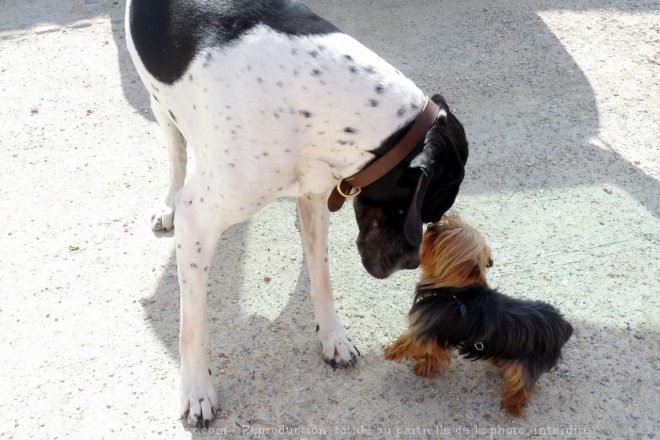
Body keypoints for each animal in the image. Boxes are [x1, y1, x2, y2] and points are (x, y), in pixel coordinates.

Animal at [125, 0, 470, 426]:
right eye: (426, 209)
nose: (411, 264)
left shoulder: (313, 195)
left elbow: (321, 279)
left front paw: (333, 338)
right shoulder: (198, 218)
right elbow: (193, 326)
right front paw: (196, 391)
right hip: (160, 104)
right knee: (177, 150)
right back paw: (168, 202)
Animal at [386, 215, 572, 418]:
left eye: (445, 234)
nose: (432, 227)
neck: (451, 290)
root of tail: (563, 325)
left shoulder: (426, 328)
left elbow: (408, 340)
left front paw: (391, 352)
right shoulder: (441, 336)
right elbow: (435, 354)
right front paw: (425, 369)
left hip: (527, 365)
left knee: (523, 386)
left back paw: (512, 406)